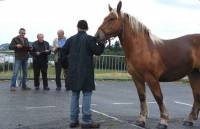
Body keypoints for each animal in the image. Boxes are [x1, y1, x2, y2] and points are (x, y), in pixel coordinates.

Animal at [94, 1, 200, 129]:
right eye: (105, 18)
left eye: (112, 18)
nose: (97, 36)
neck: (142, 48)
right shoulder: (137, 77)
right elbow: (142, 97)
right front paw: (141, 120)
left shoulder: (151, 78)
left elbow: (158, 97)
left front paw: (163, 121)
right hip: (194, 74)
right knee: (196, 95)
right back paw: (189, 120)